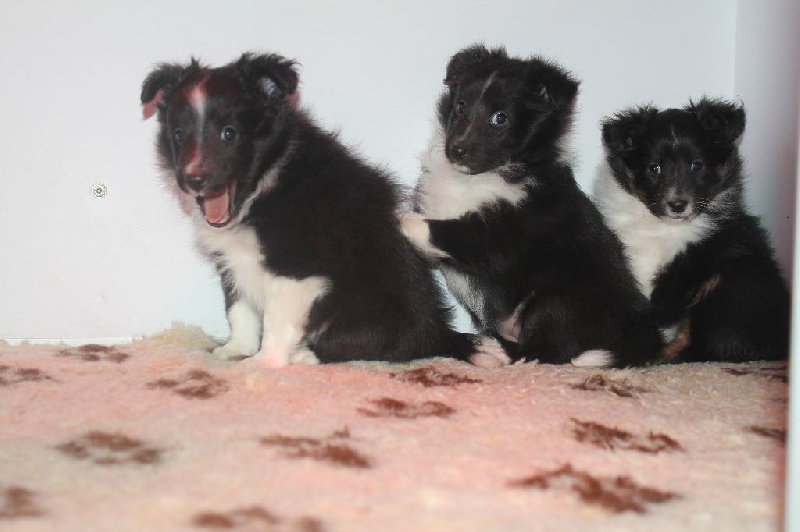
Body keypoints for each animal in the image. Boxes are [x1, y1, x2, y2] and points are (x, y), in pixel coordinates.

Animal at [141, 55, 504, 370]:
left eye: (229, 133)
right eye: (179, 134)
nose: (193, 179)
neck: (265, 183)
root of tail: (436, 332)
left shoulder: (294, 267)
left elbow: (275, 319)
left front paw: (262, 364)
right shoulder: (232, 262)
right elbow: (239, 310)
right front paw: (234, 351)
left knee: (373, 344)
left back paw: (305, 355)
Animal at [404, 44, 660, 366]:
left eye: (500, 118)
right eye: (460, 106)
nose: (456, 150)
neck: (480, 177)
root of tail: (636, 320)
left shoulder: (507, 233)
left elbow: (451, 232)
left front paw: (402, 222)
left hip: (557, 296)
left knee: (551, 348)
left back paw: (497, 351)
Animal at [596, 97, 792, 364]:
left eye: (696, 166)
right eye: (654, 168)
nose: (677, 205)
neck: (665, 227)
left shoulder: (680, 274)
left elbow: (663, 319)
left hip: (734, 279)